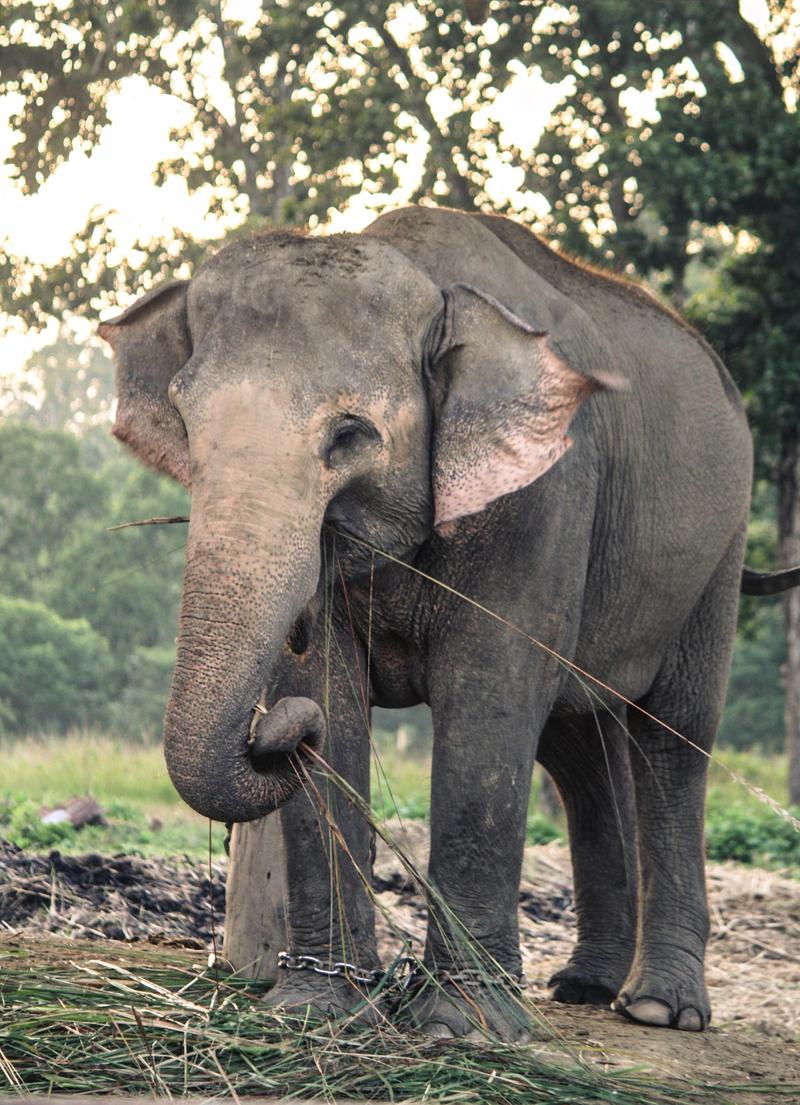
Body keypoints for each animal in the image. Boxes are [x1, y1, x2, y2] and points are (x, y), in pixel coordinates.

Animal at [100, 205, 799, 1040]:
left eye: (349, 435)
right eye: (186, 424)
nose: (277, 729)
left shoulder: (542, 495)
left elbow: (487, 697)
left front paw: (460, 1026)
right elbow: (332, 694)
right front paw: (316, 1011)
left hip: (718, 551)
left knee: (674, 735)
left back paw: (660, 1007)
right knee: (579, 749)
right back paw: (584, 986)